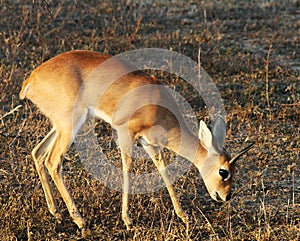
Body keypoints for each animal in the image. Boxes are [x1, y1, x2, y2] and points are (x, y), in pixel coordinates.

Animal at [19, 50, 253, 232]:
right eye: (224, 172)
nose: (226, 196)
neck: (157, 104)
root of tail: (31, 80)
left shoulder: (149, 143)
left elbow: (163, 170)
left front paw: (183, 216)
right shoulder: (125, 133)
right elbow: (127, 169)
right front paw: (127, 220)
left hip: (60, 125)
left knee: (38, 153)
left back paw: (56, 213)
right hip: (70, 124)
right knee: (53, 161)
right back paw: (80, 221)